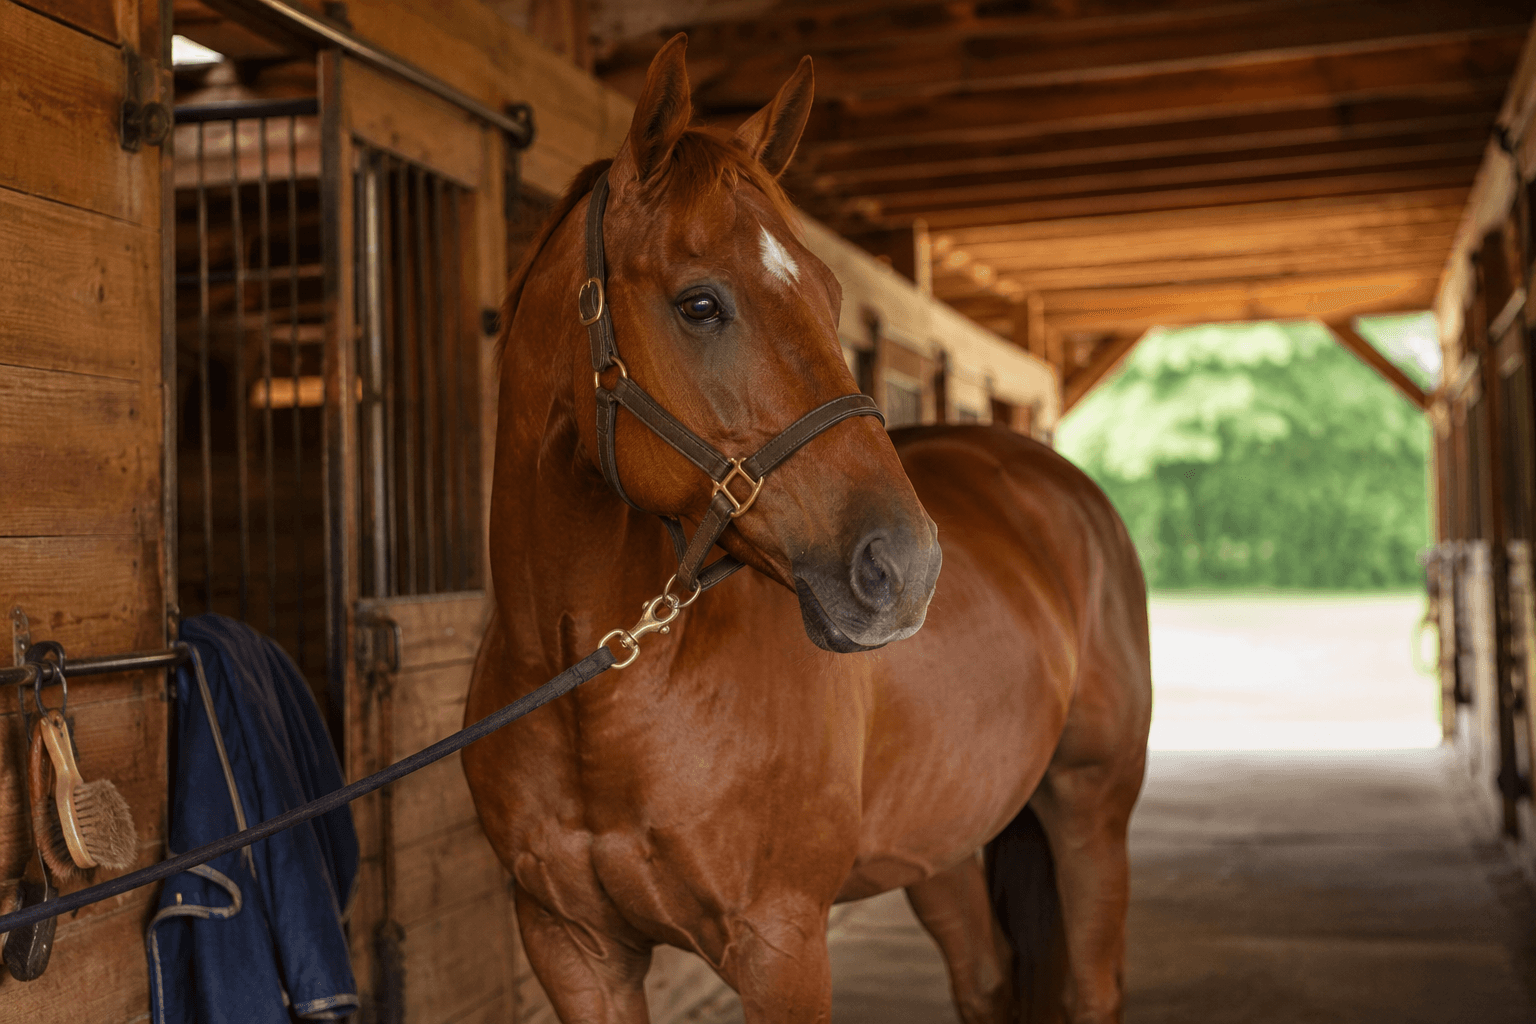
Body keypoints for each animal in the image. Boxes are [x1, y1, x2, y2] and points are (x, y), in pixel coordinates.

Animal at [464, 34, 1152, 1024]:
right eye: (700, 303)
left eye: (831, 295)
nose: (907, 566)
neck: (595, 684)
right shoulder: (573, 947)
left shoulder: (780, 946)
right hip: (939, 845)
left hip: (1090, 807)